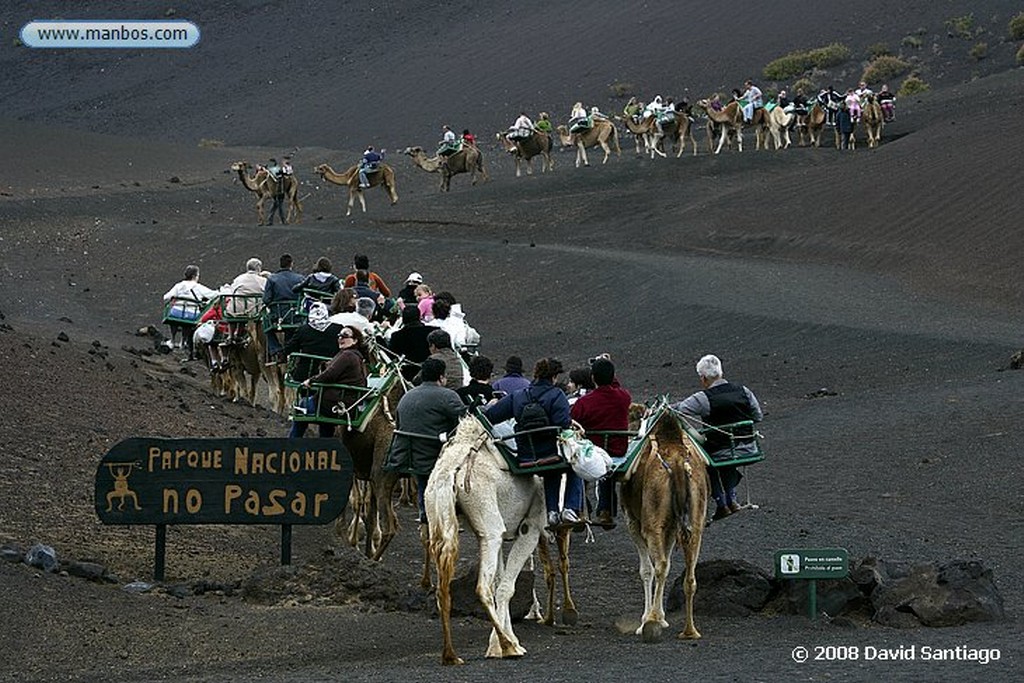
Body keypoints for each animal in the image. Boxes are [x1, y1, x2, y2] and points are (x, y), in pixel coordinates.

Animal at [618, 401, 708, 643]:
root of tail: (677, 465)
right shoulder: (671, 527)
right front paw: (662, 617)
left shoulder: (634, 522)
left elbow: (646, 570)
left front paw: (648, 619)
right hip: (696, 520)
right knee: (689, 576)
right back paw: (690, 631)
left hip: (652, 523)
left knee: (659, 565)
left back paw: (650, 623)